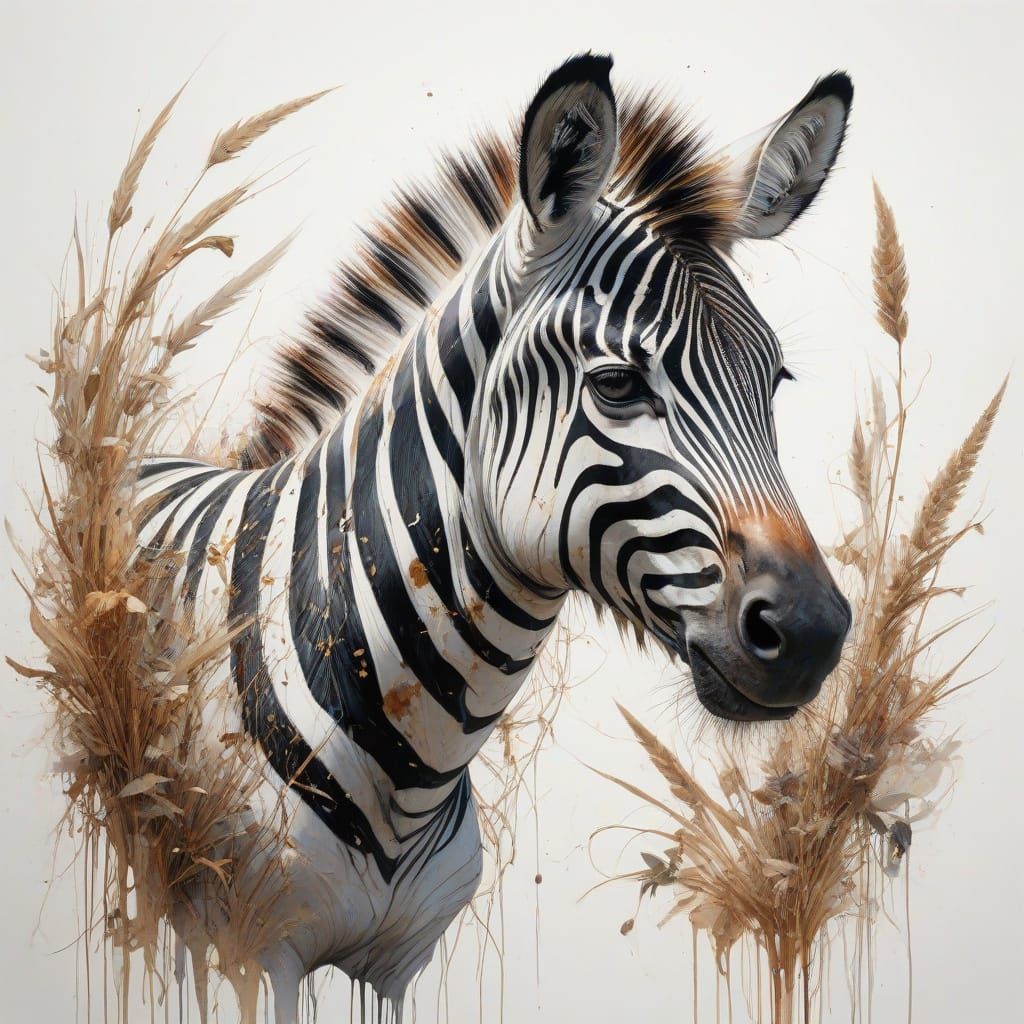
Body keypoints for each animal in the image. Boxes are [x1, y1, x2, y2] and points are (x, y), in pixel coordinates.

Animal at [136, 54, 853, 1022]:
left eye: (773, 380)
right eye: (618, 384)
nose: (811, 633)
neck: (414, 765)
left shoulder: (401, 963)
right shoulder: (258, 951)